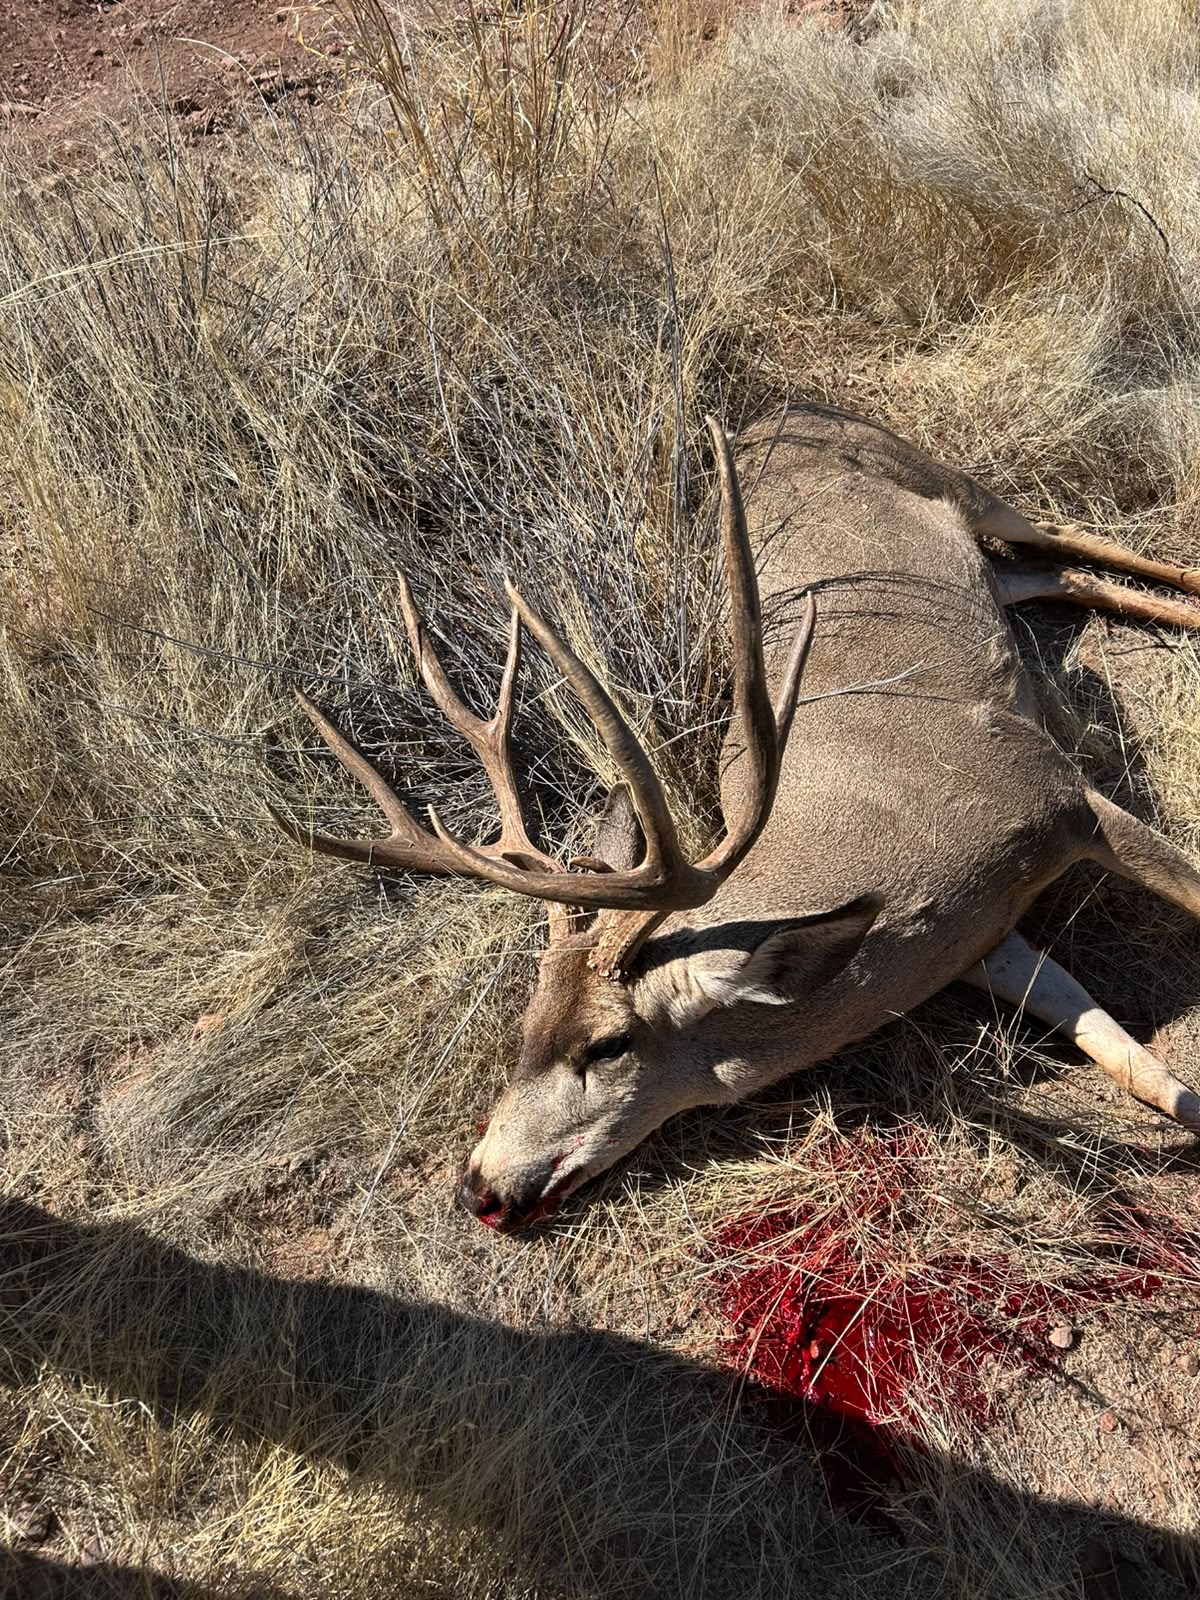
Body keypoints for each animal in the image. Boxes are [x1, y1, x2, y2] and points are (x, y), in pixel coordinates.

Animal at [272, 406, 1200, 1230]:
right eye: (523, 1031)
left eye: (608, 1045)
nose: (480, 1189)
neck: (910, 865)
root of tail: (769, 417)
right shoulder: (988, 943)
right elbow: (1143, 1074)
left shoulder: (1056, 794)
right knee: (1049, 575)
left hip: (941, 476)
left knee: (1067, 539)